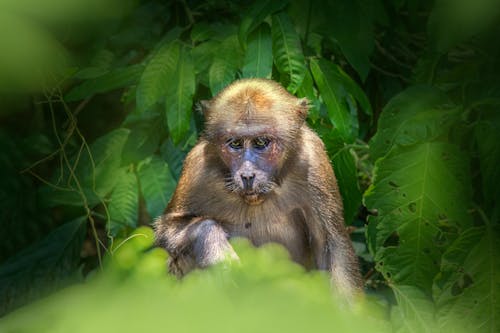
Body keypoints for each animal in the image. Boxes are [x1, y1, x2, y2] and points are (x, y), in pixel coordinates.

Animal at [154, 78, 362, 298]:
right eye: (236, 143)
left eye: (261, 142)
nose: (247, 175)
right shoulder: (196, 166)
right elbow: (168, 229)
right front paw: (212, 243)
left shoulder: (313, 159)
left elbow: (332, 246)